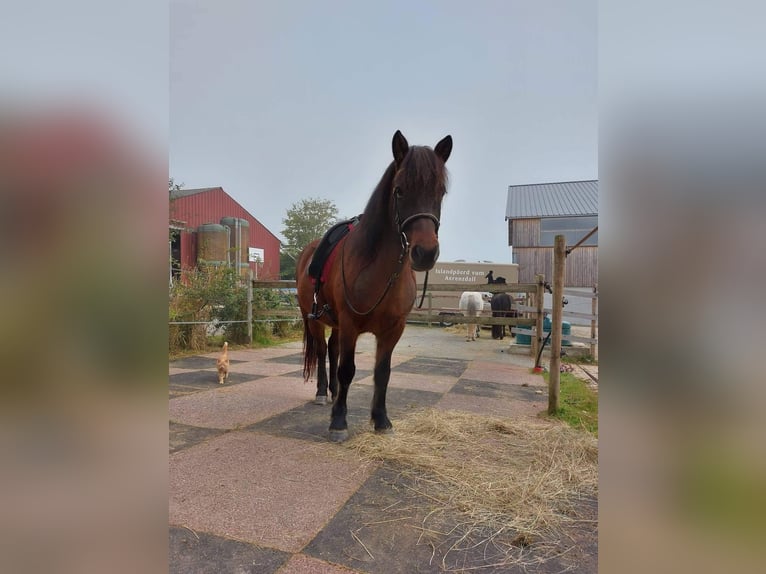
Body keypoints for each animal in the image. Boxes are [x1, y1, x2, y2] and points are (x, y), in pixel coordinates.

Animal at [296, 130, 452, 442]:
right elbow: (347, 370)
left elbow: (383, 373)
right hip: (316, 319)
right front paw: (339, 423)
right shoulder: (351, 323)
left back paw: (333, 393)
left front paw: (381, 420)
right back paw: (322, 393)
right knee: (321, 351)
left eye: (440, 191)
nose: (425, 253)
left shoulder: (393, 329)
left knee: (332, 349)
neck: (379, 269)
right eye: (400, 190)